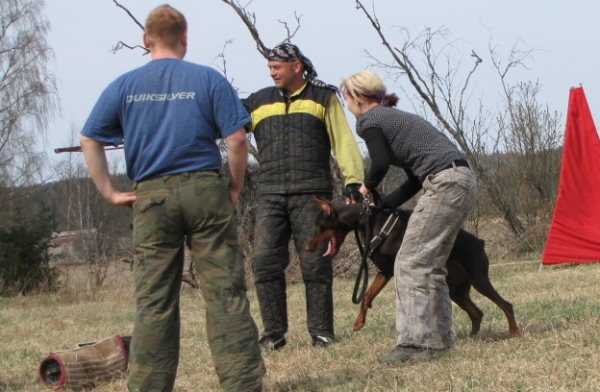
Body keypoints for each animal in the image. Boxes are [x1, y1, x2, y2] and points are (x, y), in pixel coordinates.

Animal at [304, 198, 520, 338]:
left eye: (319, 227)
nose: (306, 248)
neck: (370, 222)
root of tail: (480, 242)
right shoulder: (384, 271)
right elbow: (366, 296)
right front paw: (359, 322)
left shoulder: (396, 271)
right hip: (457, 289)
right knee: (477, 313)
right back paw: (472, 338)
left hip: (479, 279)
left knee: (506, 305)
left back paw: (515, 333)